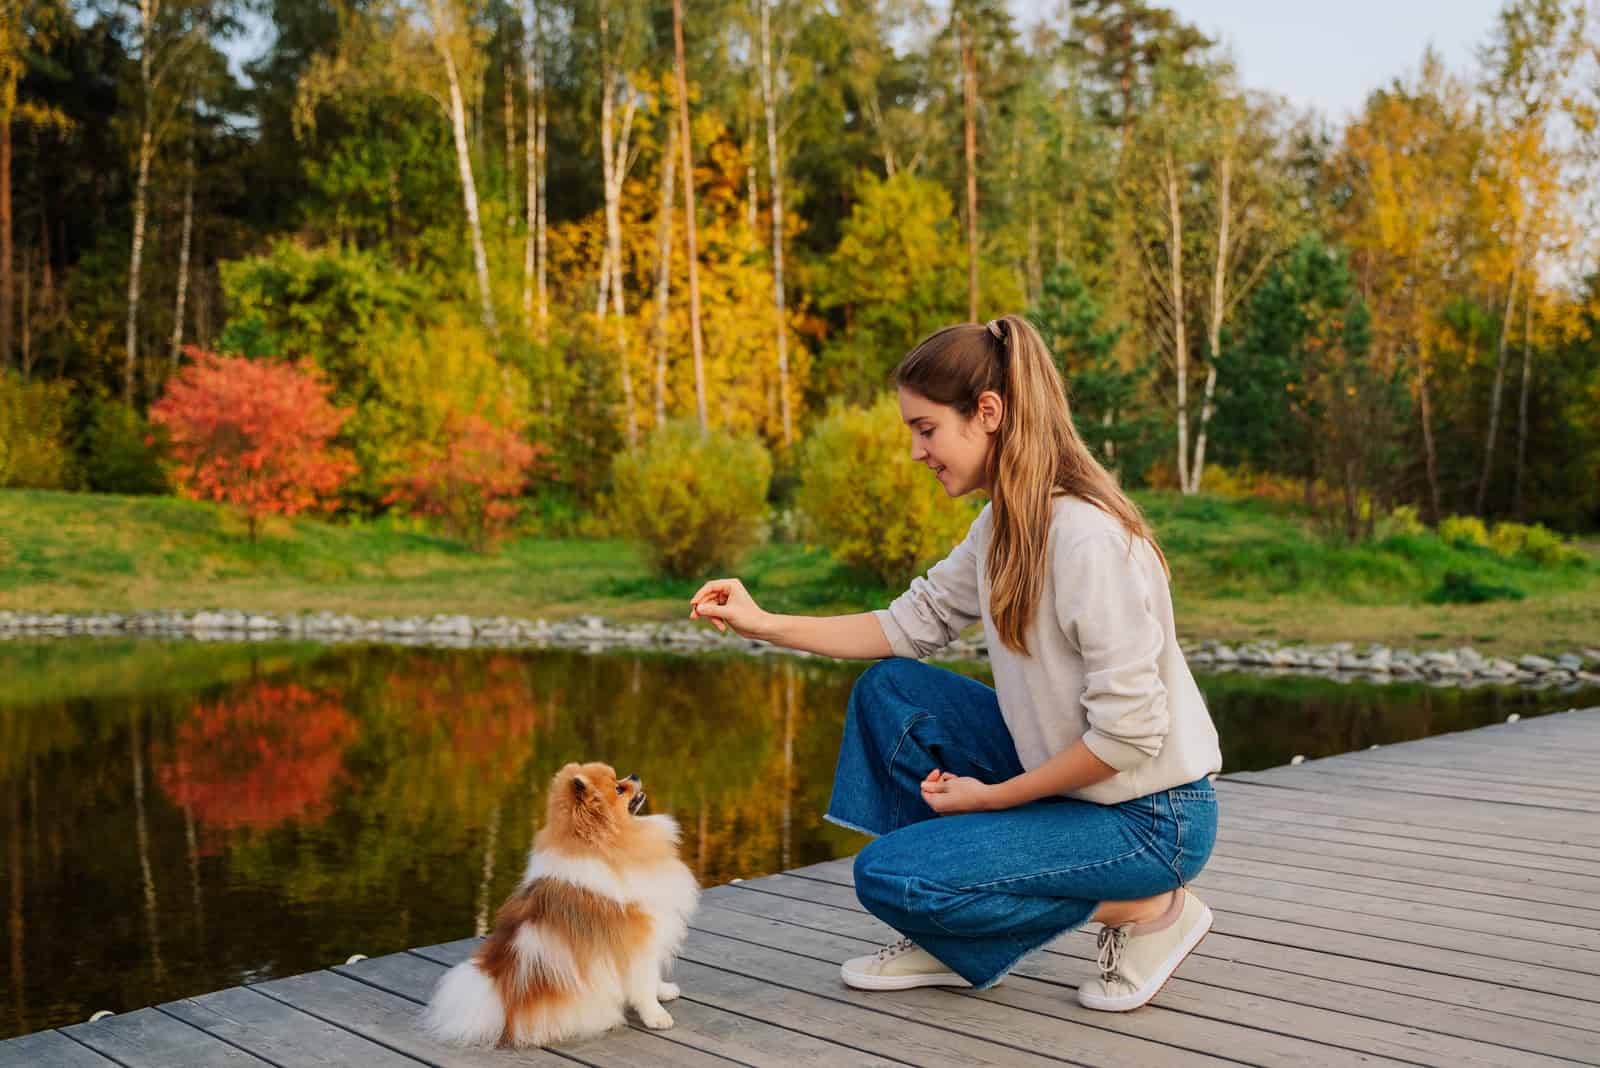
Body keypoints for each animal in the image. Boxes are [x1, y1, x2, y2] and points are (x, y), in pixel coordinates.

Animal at [422, 764, 697, 1048]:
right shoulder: (637, 940)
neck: (612, 843)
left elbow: (653, 976)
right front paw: (657, 1016)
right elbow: (644, 983)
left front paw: (664, 991)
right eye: (618, 788)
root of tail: (502, 1003)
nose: (634, 775)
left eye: (619, 777)